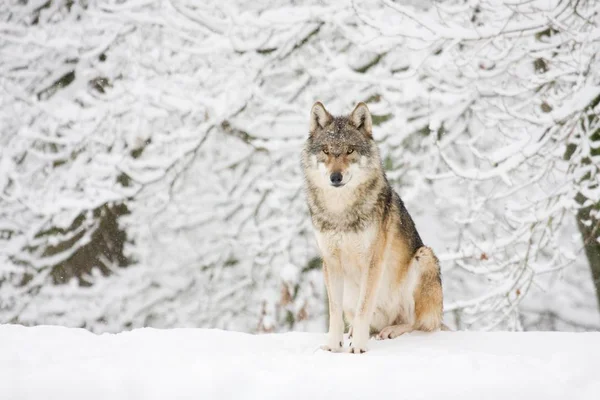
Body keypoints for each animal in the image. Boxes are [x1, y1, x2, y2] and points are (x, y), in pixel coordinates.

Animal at [302, 101, 442, 354]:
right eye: (326, 150)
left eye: (350, 150)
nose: (335, 177)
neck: (341, 211)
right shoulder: (330, 262)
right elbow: (334, 313)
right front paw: (334, 346)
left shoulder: (372, 261)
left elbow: (363, 308)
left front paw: (358, 347)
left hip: (424, 256)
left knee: (421, 324)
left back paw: (390, 331)